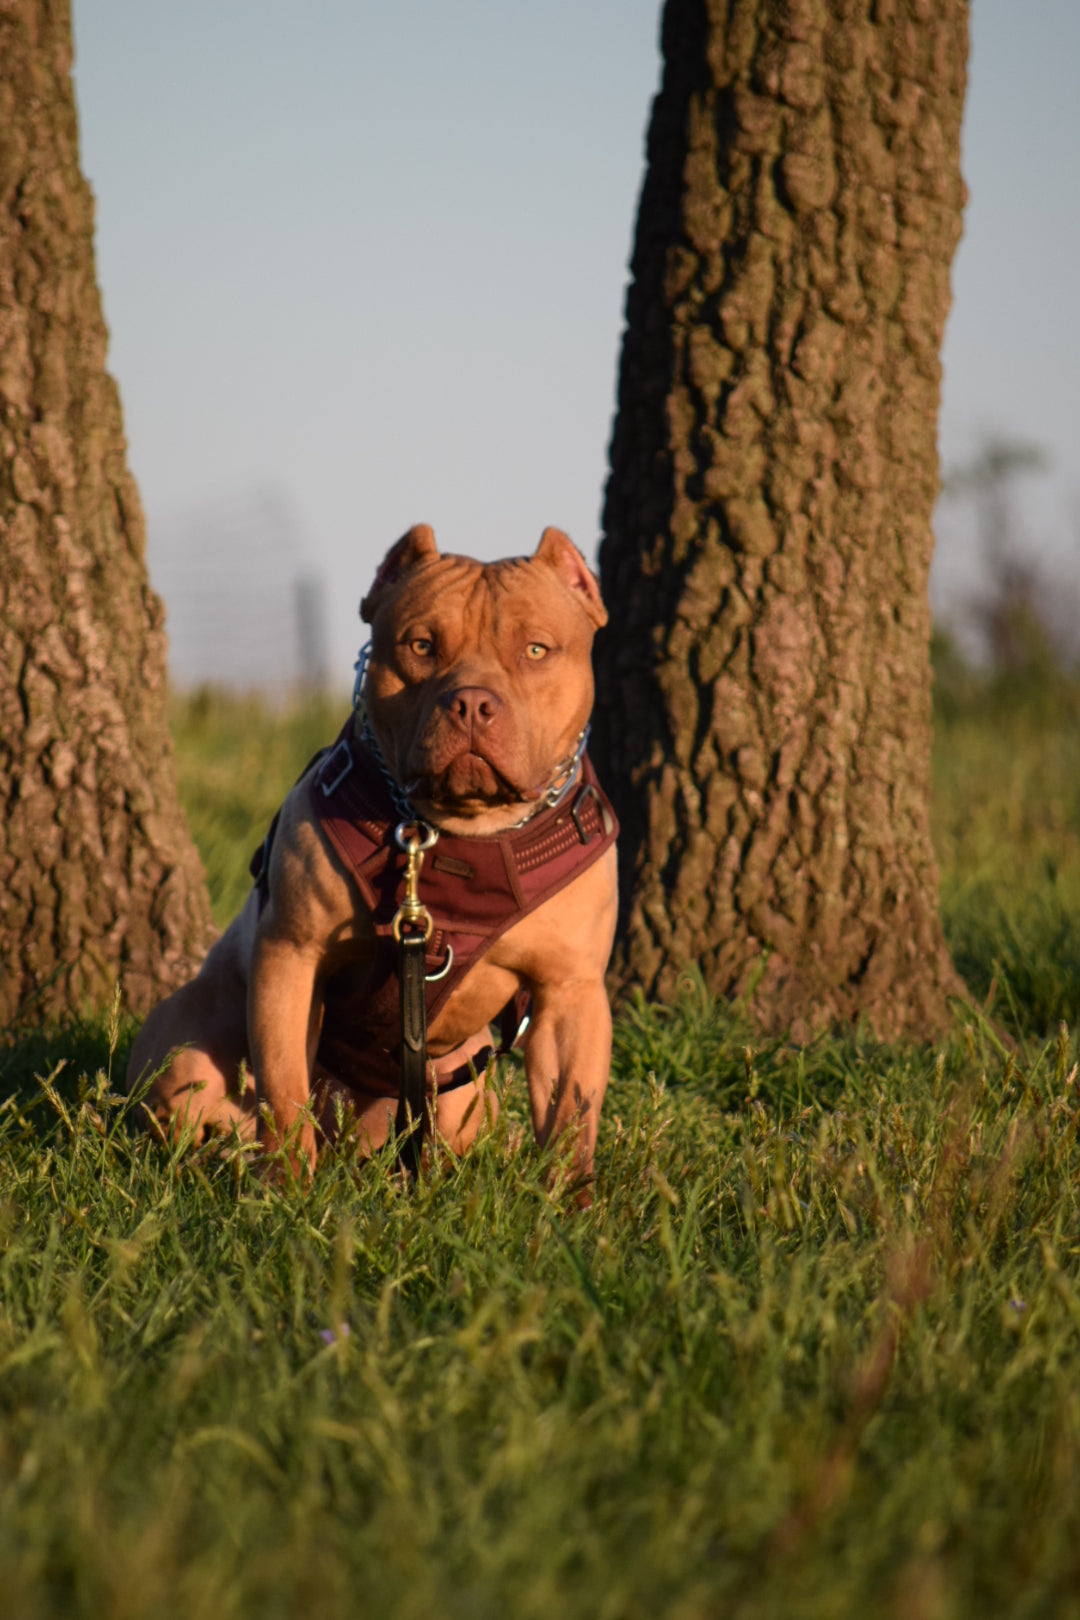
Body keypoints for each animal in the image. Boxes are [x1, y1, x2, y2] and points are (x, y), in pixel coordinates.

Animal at [127, 528, 615, 1192]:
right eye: (421, 646)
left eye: (537, 650)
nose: (472, 703)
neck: (462, 832)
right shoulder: (292, 954)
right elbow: (284, 1088)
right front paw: (286, 1189)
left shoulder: (572, 990)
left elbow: (572, 1116)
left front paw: (568, 1202)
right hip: (188, 1061)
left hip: (466, 1097)